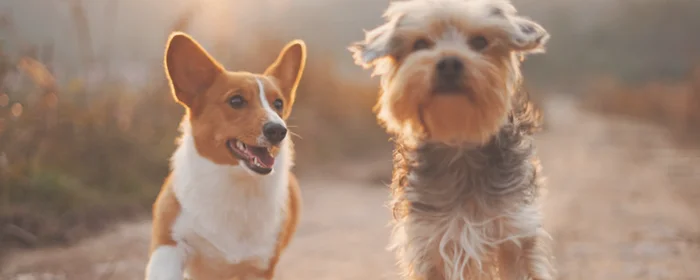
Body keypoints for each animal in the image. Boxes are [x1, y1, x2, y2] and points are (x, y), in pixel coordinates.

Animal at [144, 32, 304, 280]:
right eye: (236, 101)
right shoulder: (170, 244)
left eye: (278, 103)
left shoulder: (258, 266)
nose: (278, 130)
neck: (235, 182)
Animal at [350, 0, 556, 280]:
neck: (459, 142)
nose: (448, 62)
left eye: (480, 41)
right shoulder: (428, 241)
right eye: (420, 44)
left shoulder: (516, 231)